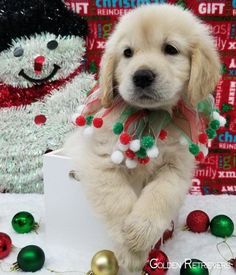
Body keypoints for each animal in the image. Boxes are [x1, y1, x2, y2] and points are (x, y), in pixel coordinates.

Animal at [64, 3, 219, 274]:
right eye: (127, 53)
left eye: (170, 49)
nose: (142, 76)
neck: (148, 118)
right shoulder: (100, 159)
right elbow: (117, 198)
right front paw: (130, 251)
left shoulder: (177, 167)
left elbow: (160, 194)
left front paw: (139, 234)